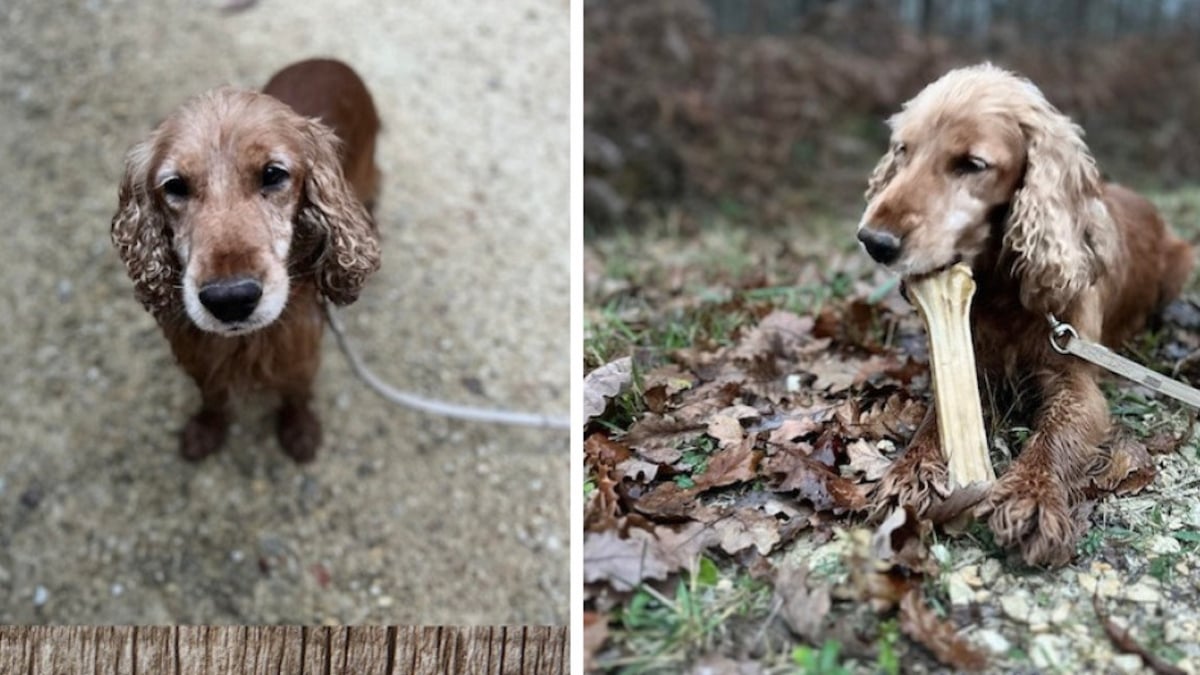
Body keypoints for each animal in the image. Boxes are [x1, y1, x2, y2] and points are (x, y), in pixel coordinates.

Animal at [111, 57, 379, 458]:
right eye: (175, 185)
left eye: (273, 174)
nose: (231, 299)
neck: (245, 343)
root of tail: (331, 60)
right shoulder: (200, 361)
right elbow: (212, 398)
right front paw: (205, 431)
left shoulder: (301, 353)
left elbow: (296, 393)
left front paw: (300, 432)